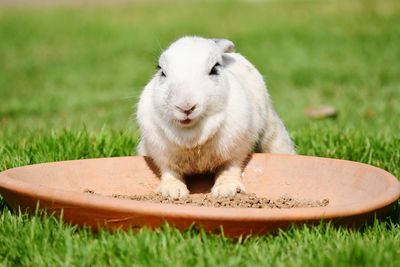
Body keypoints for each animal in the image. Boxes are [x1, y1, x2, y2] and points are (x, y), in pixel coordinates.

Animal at [136, 36, 296, 199]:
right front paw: (173, 192)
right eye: (161, 71)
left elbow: (229, 169)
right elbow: (170, 173)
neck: (192, 138)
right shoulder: (162, 155)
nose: (186, 106)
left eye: (214, 69)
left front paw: (226, 191)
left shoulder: (236, 151)